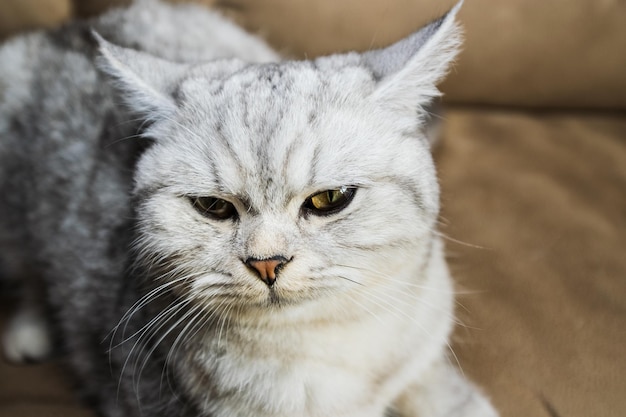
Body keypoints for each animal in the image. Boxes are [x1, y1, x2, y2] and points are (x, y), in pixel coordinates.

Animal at [0, 0, 498, 414]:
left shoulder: (422, 354)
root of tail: (74, 26)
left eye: (330, 199)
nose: (267, 263)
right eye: (212, 206)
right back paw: (30, 330)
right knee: (31, 270)